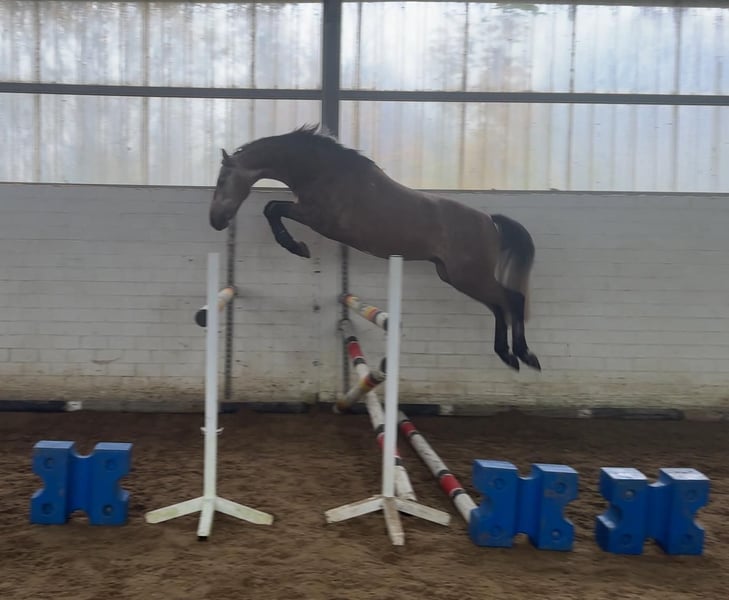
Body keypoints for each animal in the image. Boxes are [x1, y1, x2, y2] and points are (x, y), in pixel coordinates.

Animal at [209, 125, 540, 372]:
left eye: (223, 179)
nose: (215, 221)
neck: (323, 171)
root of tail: (489, 221)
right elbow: (272, 208)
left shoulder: (314, 217)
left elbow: (272, 208)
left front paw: (297, 247)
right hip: (455, 277)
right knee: (499, 306)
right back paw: (508, 355)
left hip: (468, 276)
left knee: (511, 299)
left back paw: (524, 355)